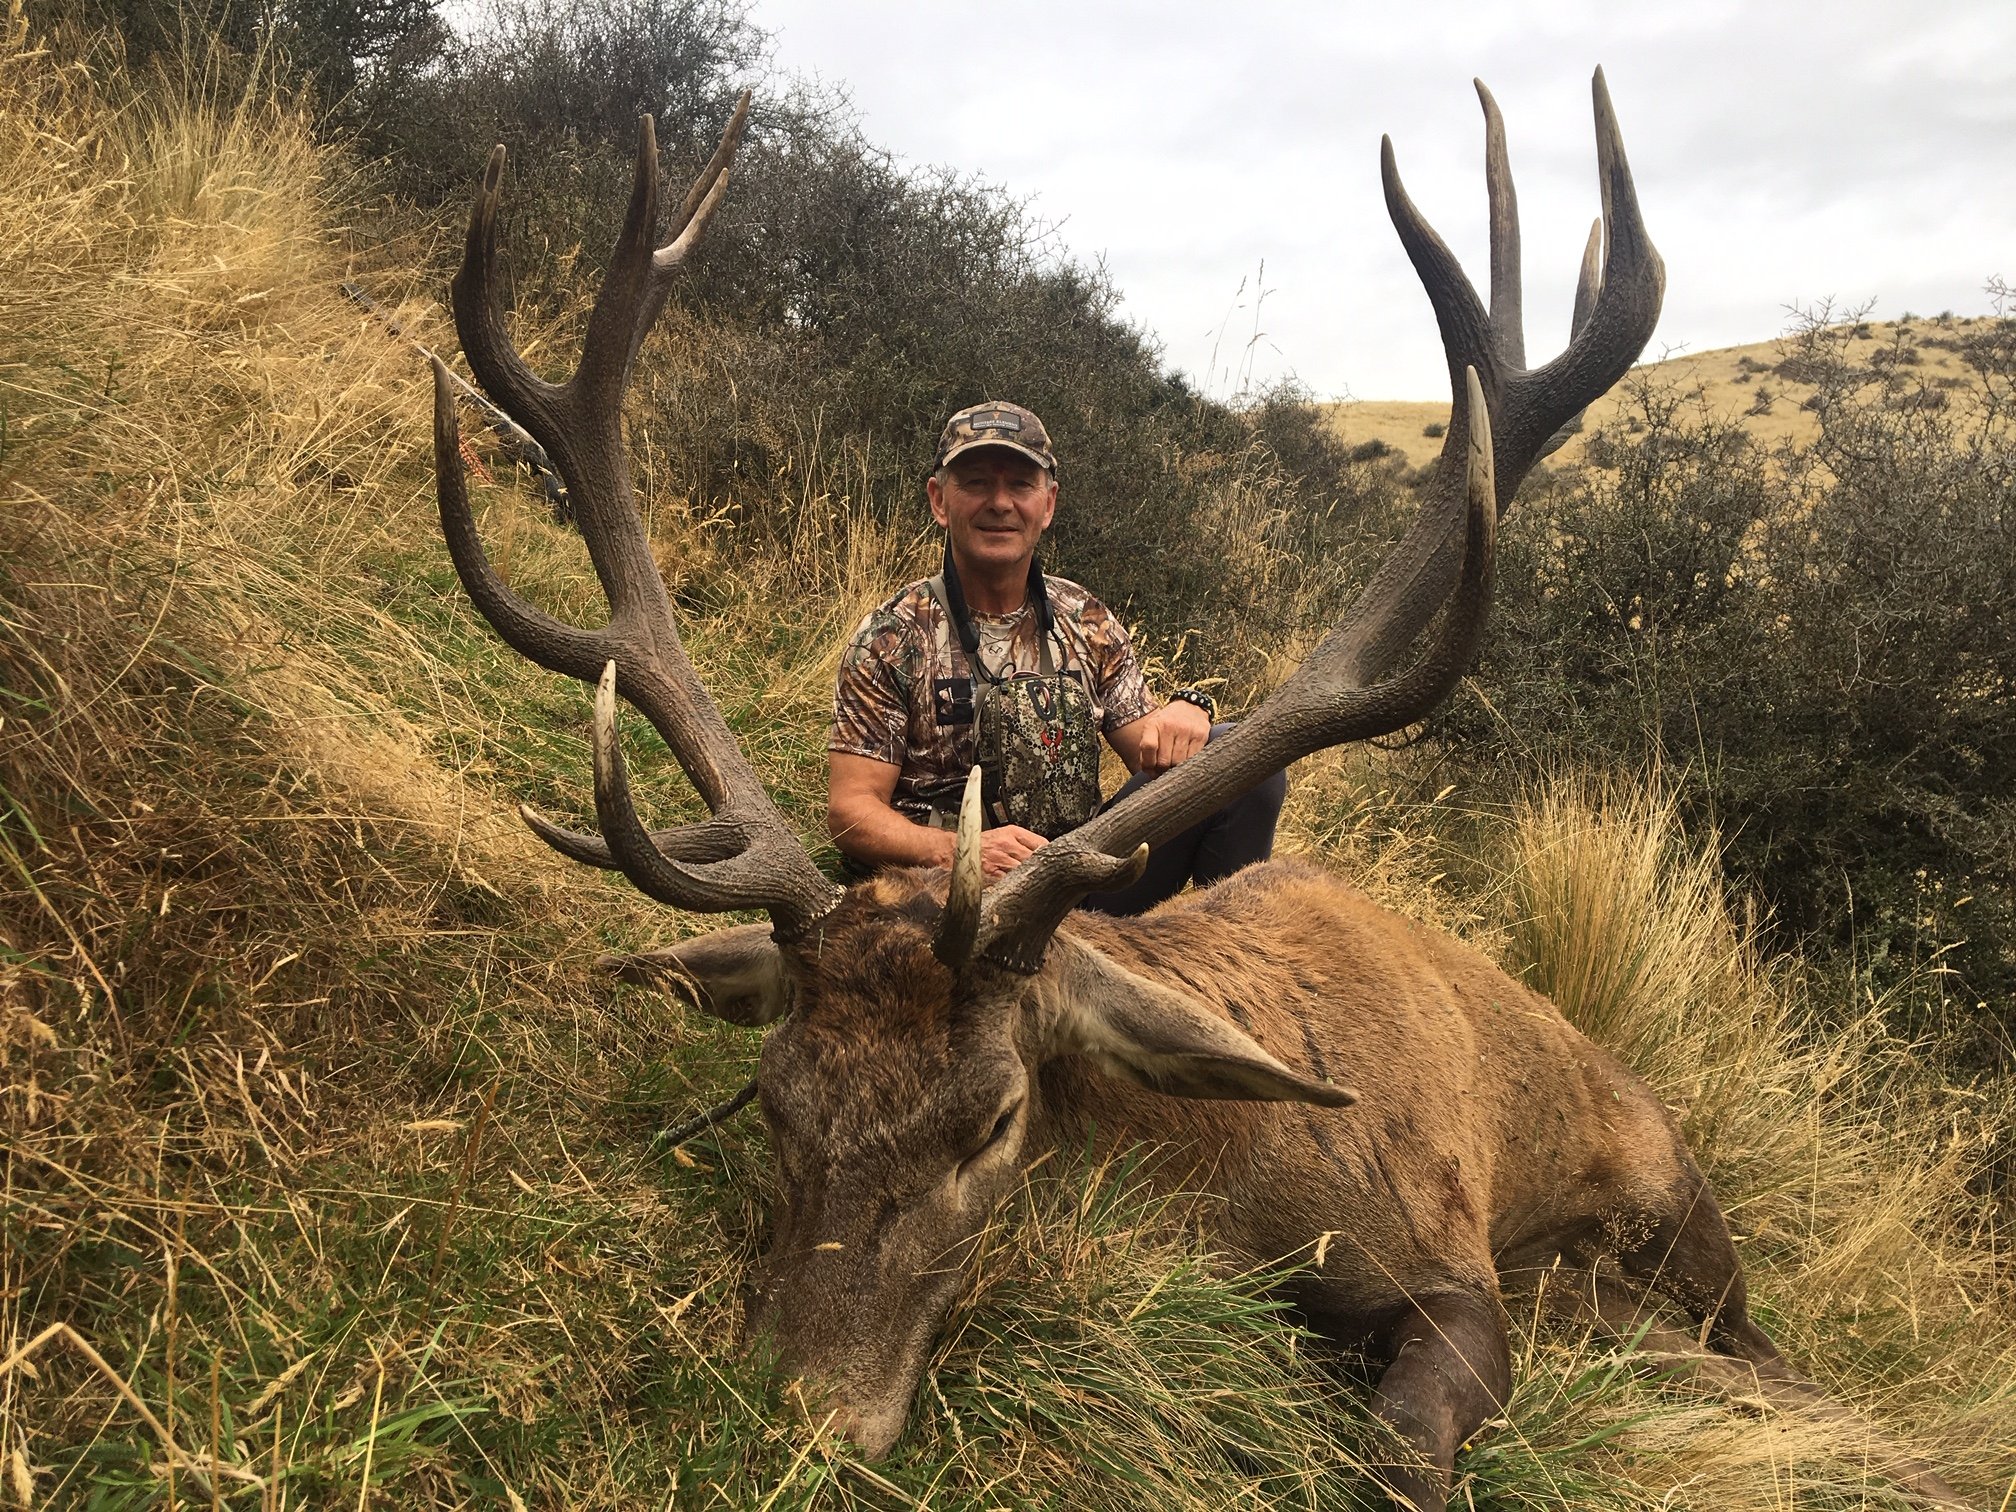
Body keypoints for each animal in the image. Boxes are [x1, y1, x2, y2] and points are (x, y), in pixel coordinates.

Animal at [427, 75, 1968, 1512]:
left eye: (994, 1119)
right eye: (773, 1097)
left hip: (1682, 1207)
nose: (805, 1418)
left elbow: (1403, 1443)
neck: (1211, 1173)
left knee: (1764, 1348)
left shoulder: (1448, 1256)